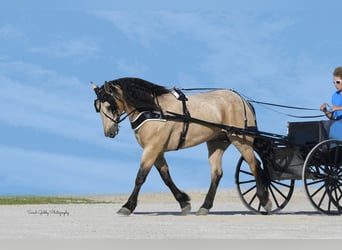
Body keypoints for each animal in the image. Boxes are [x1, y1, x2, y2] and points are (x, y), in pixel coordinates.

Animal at [91, 77, 272, 215]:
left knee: (255, 166)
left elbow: (140, 177)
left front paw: (128, 206)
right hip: (217, 142)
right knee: (217, 173)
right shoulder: (157, 151)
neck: (153, 110)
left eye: (109, 105)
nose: (109, 132)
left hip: (241, 140)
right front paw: (184, 202)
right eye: (98, 108)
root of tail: (243, 100)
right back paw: (205, 206)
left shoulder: (152, 148)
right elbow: (166, 177)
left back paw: (265, 201)